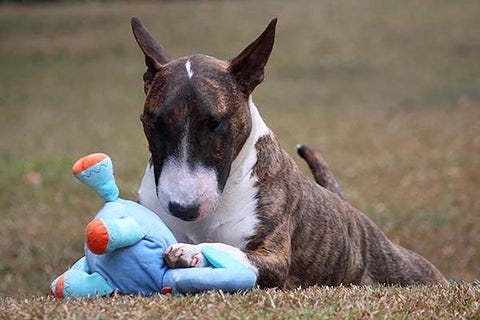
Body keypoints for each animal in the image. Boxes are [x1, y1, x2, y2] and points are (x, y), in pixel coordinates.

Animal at [130, 17, 446, 288]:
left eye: (215, 123)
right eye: (155, 123)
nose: (184, 208)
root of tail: (354, 214)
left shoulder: (274, 258)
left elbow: (229, 251)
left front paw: (190, 252)